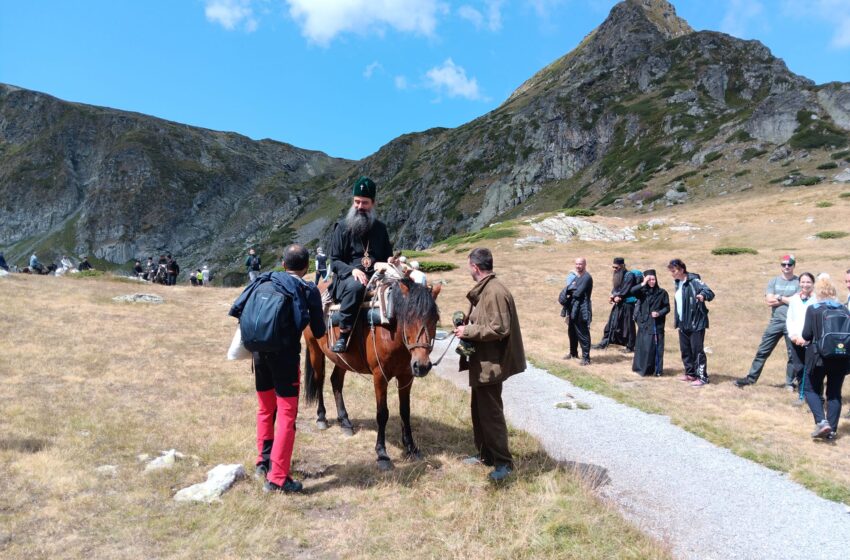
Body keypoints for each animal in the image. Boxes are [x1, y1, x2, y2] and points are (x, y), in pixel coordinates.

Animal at [302, 276, 440, 468]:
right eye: (409, 317)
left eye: (435, 319)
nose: (422, 365)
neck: (390, 328)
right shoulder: (380, 376)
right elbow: (382, 414)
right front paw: (382, 454)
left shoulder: (406, 377)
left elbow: (405, 411)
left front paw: (411, 448)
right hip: (314, 347)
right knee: (319, 380)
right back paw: (322, 418)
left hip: (342, 359)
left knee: (335, 381)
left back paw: (345, 421)